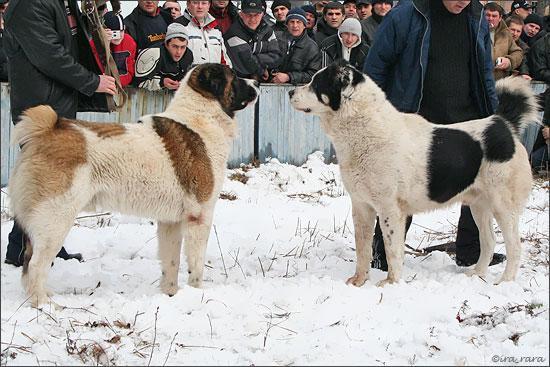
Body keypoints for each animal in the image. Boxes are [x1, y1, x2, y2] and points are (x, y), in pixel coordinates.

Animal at [8, 64, 258, 308]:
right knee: (37, 264)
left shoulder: (170, 222)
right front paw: (197, 294)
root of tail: (47, 128)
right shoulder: (200, 216)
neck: (202, 115)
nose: (256, 81)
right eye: (234, 76)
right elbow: (196, 264)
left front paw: (170, 294)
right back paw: (43, 304)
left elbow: (171, 262)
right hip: (56, 217)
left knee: (28, 262)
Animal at [292, 61, 540, 288]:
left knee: (514, 246)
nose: (290, 92)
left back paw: (505, 281)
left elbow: (392, 249)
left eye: (316, 83)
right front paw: (359, 281)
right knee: (489, 241)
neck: (365, 127)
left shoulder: (390, 209)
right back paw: (476, 274)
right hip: (479, 205)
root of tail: (503, 124)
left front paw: (391, 283)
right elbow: (363, 248)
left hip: (503, 206)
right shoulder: (361, 206)